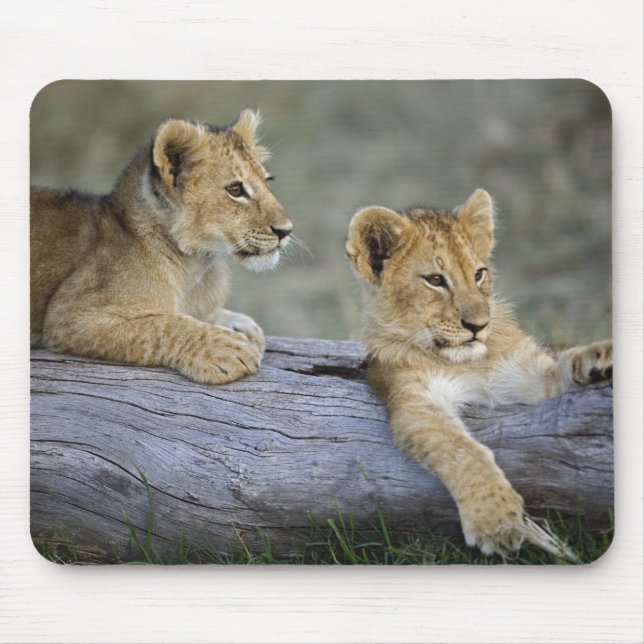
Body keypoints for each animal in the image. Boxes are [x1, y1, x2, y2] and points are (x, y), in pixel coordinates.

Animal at [31, 110, 292, 385]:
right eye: (235, 189)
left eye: (267, 181)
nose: (286, 230)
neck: (197, 266)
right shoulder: (69, 316)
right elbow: (161, 325)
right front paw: (226, 349)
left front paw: (240, 324)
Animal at [346, 188, 612, 559]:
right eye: (435, 280)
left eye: (479, 274)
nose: (479, 325)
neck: (466, 361)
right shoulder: (414, 399)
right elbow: (462, 449)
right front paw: (496, 520)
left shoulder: (521, 372)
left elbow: (560, 363)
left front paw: (600, 356)